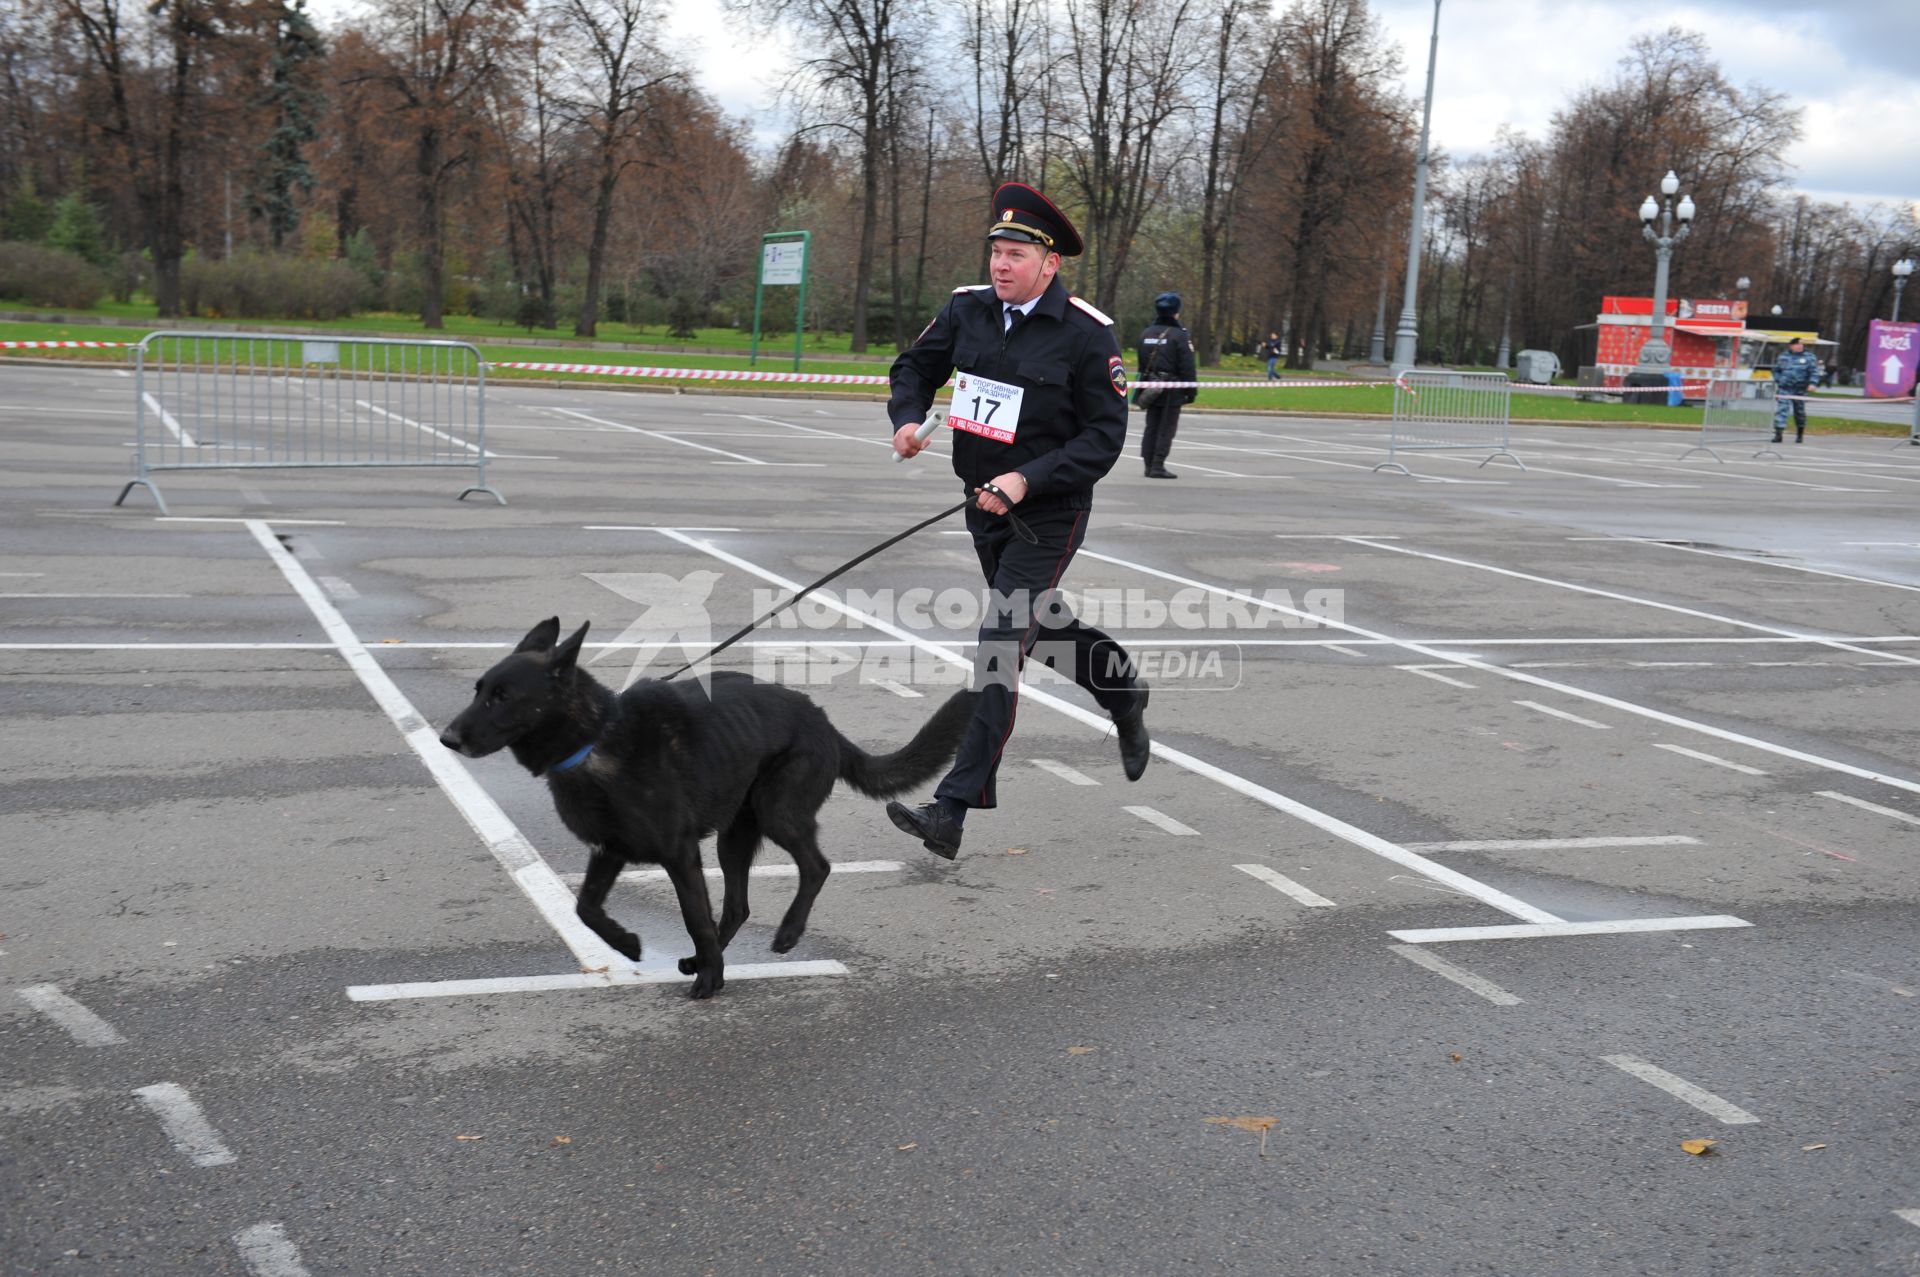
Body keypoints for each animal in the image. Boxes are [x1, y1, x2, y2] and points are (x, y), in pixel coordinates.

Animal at [439, 618, 975, 998]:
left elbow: (693, 916)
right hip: (733, 838)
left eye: (503, 697)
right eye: (479, 690)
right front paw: (629, 943)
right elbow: (585, 907)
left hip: (777, 814)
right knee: (738, 905)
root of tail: (823, 722)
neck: (595, 737)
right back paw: (705, 956)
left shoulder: (679, 854)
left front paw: (711, 981)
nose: (447, 739)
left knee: (816, 867)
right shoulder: (610, 850)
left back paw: (784, 933)